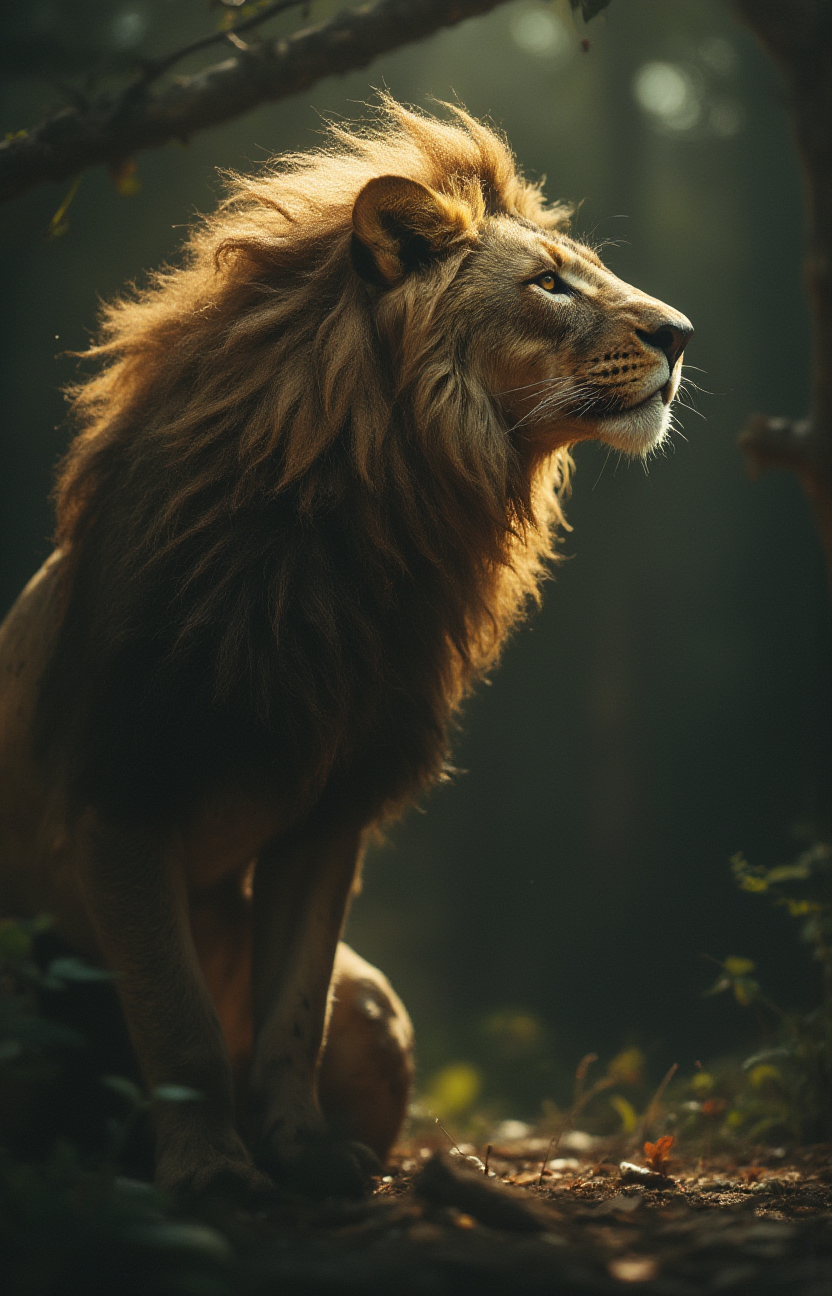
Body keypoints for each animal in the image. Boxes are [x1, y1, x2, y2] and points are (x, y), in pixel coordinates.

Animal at [0, 98, 691, 1199]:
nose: (681, 334)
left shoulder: (334, 809)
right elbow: (180, 1023)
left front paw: (305, 1155)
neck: (371, 527)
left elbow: (293, 1011)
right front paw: (214, 1174)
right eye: (548, 283)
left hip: (379, 1004)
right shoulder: (123, 783)